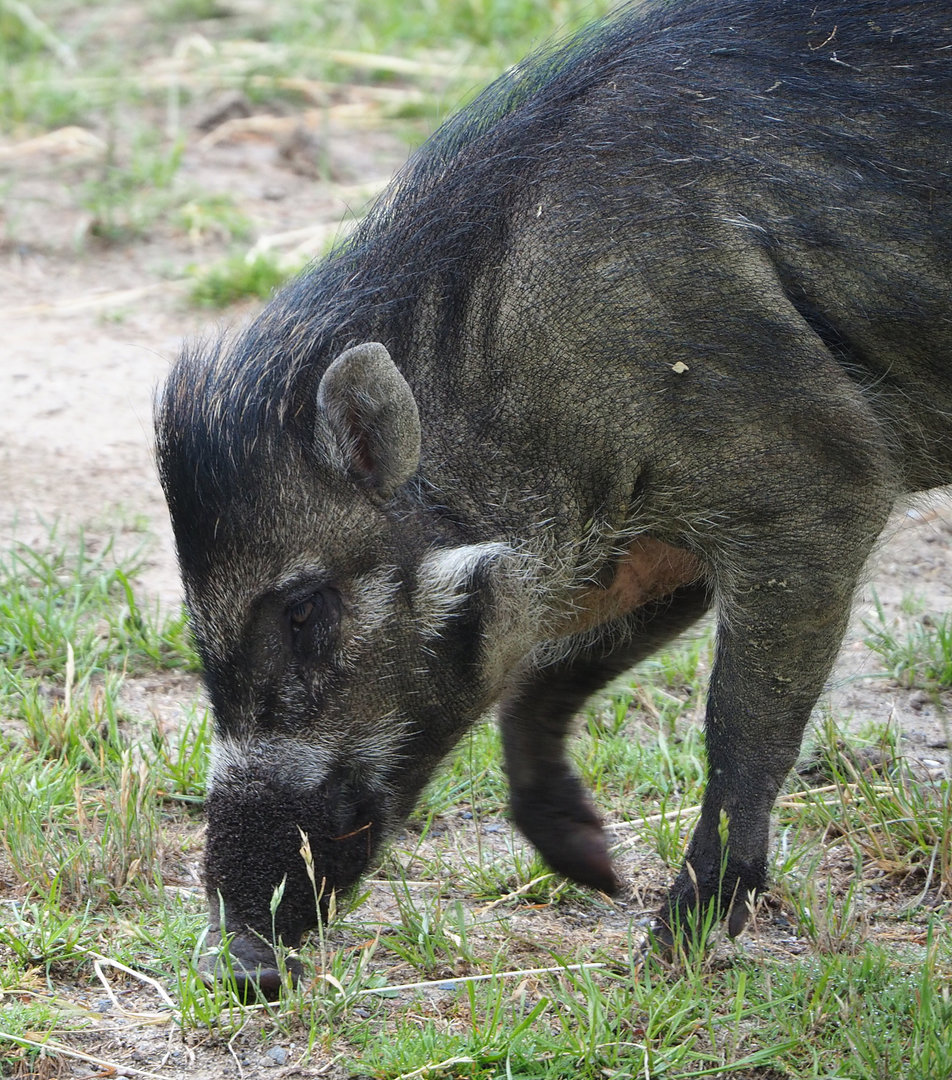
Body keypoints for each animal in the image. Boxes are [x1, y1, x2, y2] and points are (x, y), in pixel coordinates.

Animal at [156, 0, 952, 997]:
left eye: (305, 608)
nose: (237, 961)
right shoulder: (650, 546)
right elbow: (541, 683)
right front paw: (594, 870)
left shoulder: (816, 484)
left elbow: (737, 734)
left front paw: (663, 956)